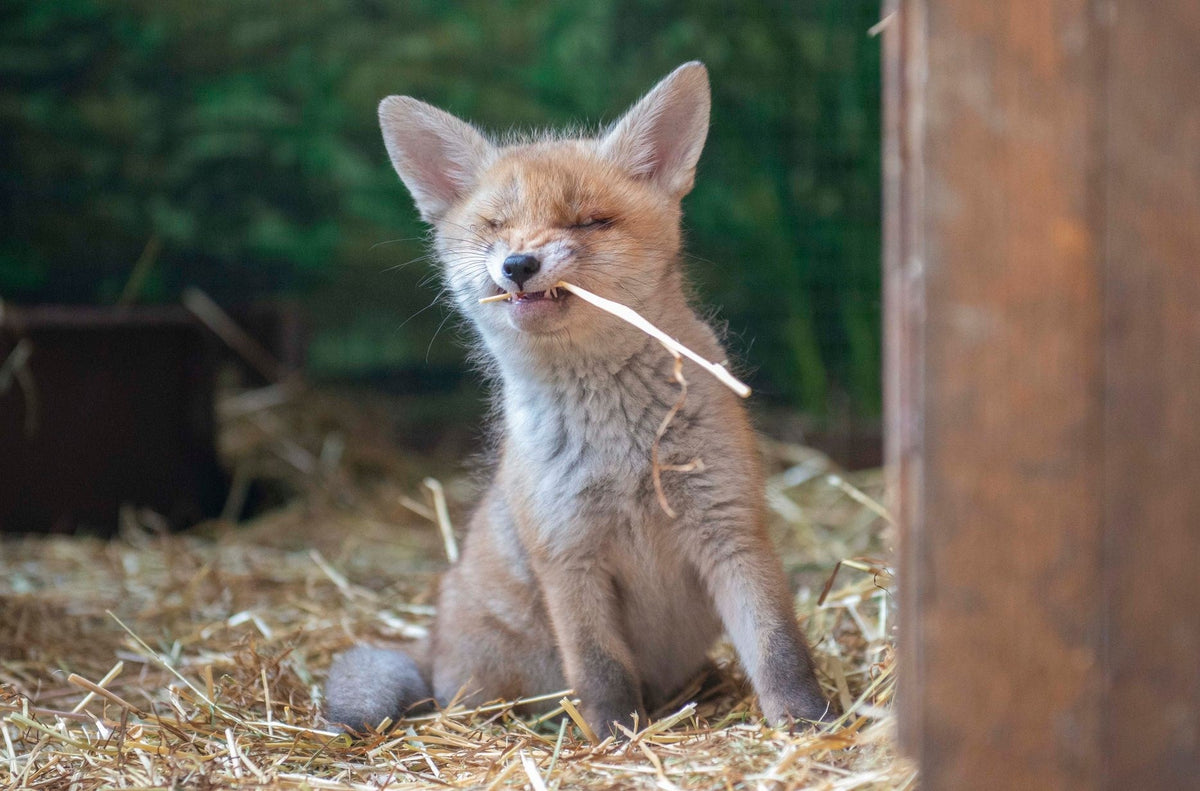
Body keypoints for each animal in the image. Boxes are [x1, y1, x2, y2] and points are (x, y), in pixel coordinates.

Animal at [325, 61, 831, 738]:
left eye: (589, 221)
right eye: (494, 227)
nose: (517, 263)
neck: (622, 447)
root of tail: (430, 643)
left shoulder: (732, 531)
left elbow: (779, 651)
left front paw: (809, 724)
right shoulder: (568, 556)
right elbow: (600, 670)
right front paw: (616, 738)